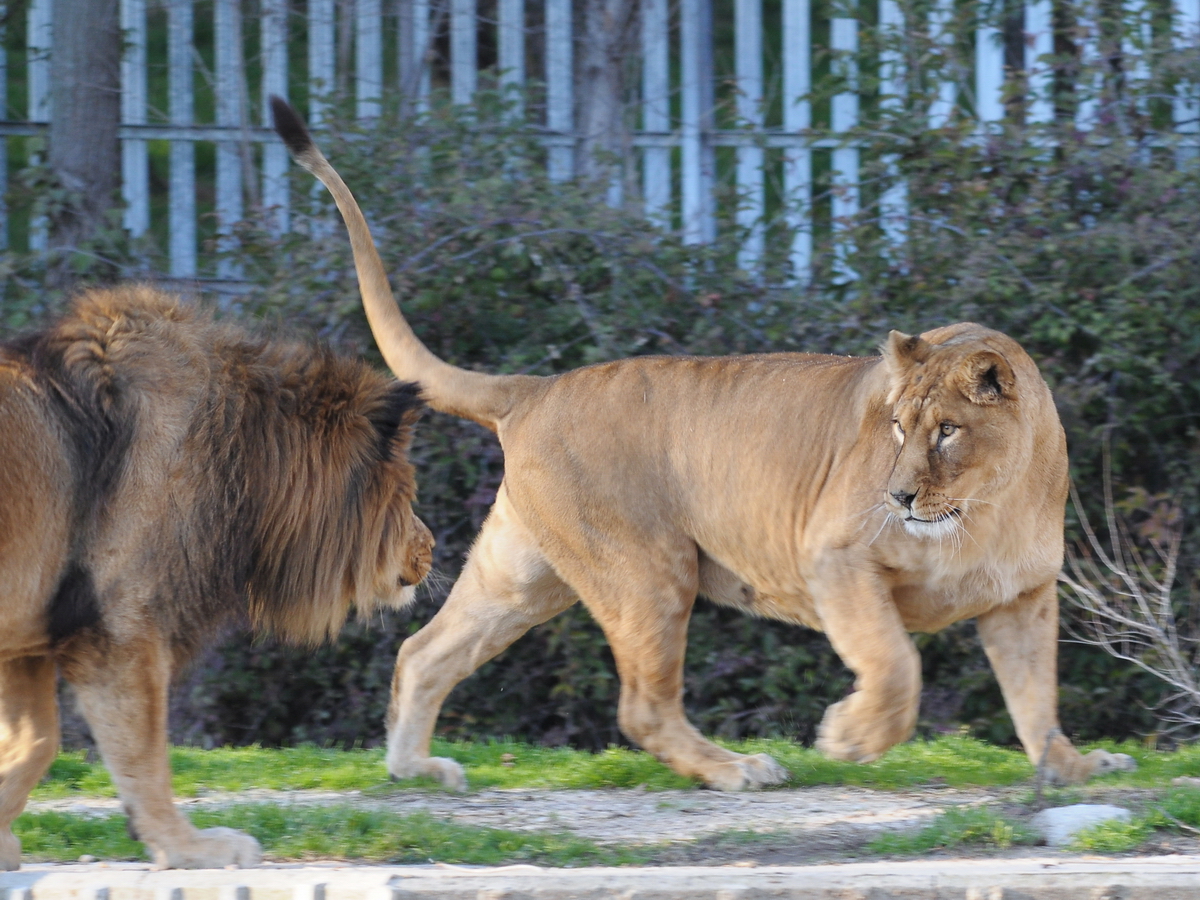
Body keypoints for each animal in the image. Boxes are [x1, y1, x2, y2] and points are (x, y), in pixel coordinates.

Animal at [0, 285, 432, 868]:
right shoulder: (120, 626)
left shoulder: (31, 633)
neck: (243, 456)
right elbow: (142, 755)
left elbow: (36, 742)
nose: (431, 548)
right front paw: (191, 848)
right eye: (407, 491)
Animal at [272, 97, 1132, 787]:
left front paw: (1074, 768)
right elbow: (898, 665)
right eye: (896, 427)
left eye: (947, 430)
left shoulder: (1021, 599)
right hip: (650, 572)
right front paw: (849, 738)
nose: (898, 494)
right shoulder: (836, 556)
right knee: (642, 707)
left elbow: (1036, 699)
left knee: (424, 652)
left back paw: (414, 769)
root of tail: (533, 390)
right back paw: (737, 768)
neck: (987, 503)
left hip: (522, 577)